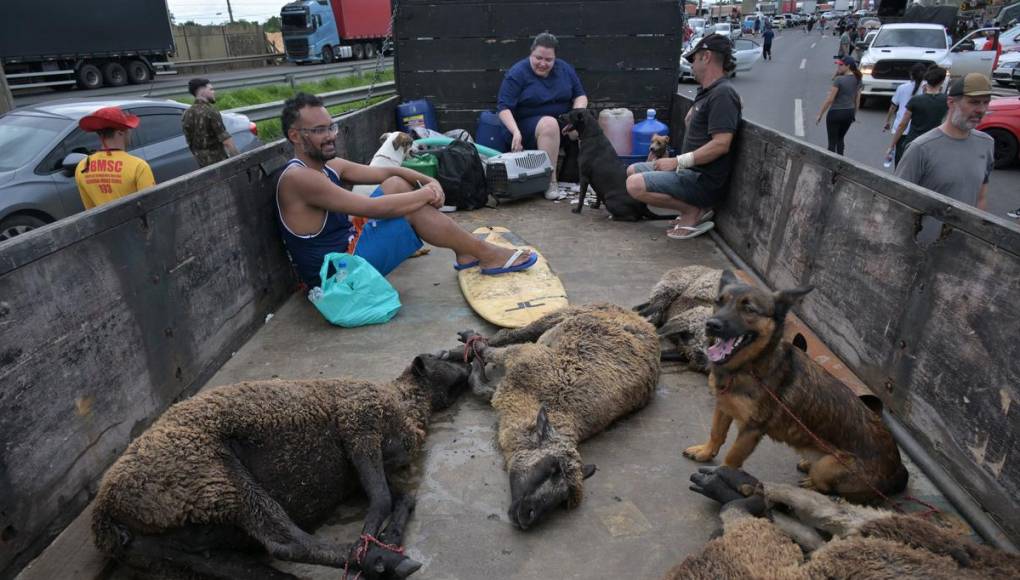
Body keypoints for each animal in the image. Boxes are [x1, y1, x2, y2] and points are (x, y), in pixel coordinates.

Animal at [89, 352, 471, 578]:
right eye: (446, 356)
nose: (469, 364)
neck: (406, 402)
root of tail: (105, 516)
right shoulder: (358, 423)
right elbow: (382, 498)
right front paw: (375, 536)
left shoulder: (359, 467)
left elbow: (401, 497)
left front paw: (388, 533)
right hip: (214, 478)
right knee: (286, 543)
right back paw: (384, 561)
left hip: (173, 549)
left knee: (252, 566)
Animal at [456, 303, 660, 530]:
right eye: (551, 467)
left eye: (562, 499)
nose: (528, 515)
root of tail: (642, 320)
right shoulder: (520, 355)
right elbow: (490, 355)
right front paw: (475, 357)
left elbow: (484, 389)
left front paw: (475, 368)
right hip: (563, 314)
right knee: (510, 334)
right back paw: (464, 344)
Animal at [685, 271, 909, 501]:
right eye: (718, 302)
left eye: (749, 309)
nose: (711, 325)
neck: (749, 366)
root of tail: (898, 469)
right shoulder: (723, 405)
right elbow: (717, 433)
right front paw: (706, 451)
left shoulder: (751, 429)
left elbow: (731, 459)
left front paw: (721, 479)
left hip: (828, 466)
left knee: (826, 486)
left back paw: (812, 483)